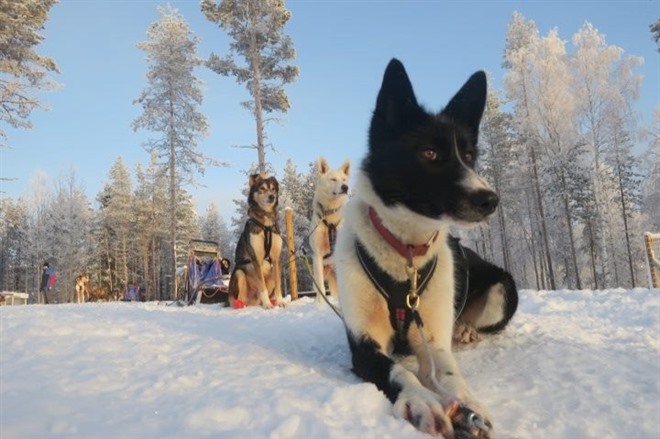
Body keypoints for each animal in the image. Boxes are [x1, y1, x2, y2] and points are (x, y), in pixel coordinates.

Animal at [338, 59, 508, 439]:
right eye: (429, 153)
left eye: (469, 156)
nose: (490, 200)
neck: (407, 254)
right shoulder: (364, 344)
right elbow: (399, 371)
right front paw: (421, 400)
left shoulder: (433, 338)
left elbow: (447, 371)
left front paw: (467, 404)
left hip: (504, 288)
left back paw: (466, 329)